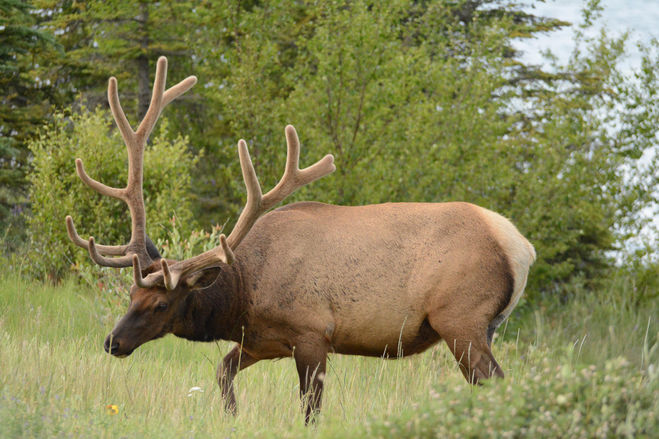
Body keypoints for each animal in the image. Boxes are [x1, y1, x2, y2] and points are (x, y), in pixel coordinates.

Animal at [67, 56, 536, 424]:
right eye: (131, 295)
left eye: (161, 304)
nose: (113, 342)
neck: (244, 294)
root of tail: (520, 247)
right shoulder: (262, 340)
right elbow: (222, 373)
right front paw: (232, 418)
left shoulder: (312, 332)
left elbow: (310, 410)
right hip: (482, 326)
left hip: (461, 319)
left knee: (496, 382)